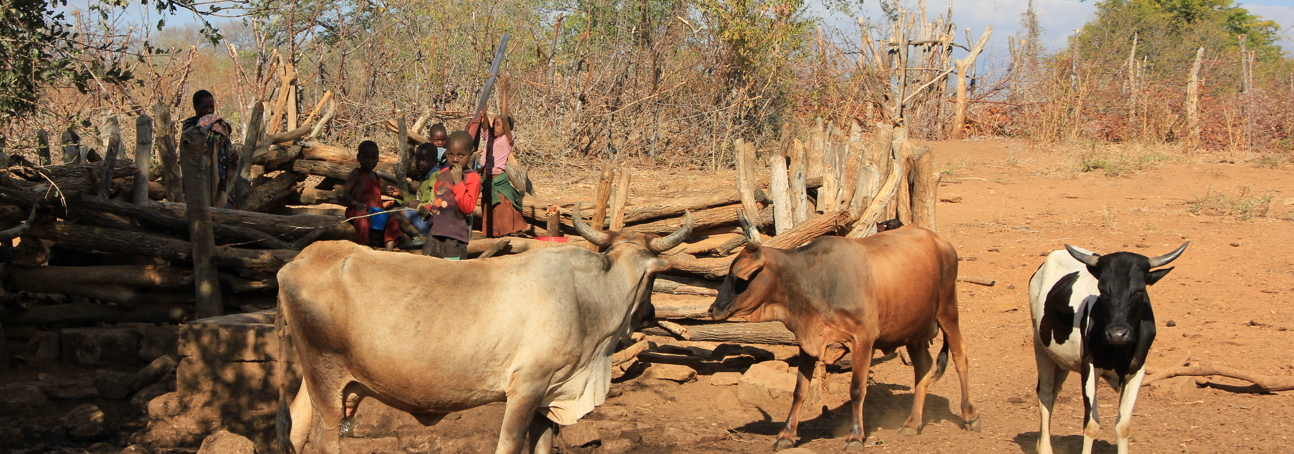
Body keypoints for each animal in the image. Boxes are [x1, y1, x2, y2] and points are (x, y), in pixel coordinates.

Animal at [275, 205, 692, 454]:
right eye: (655, 279)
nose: (650, 313)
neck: (588, 298)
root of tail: (300, 259)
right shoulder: (526, 388)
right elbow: (509, 445)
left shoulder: (550, 393)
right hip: (326, 378)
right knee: (324, 437)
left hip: (319, 379)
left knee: (295, 426)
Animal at [708, 211, 979, 451]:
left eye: (739, 278)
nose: (713, 309)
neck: (815, 281)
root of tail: (938, 240)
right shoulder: (807, 342)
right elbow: (799, 390)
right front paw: (786, 435)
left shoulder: (863, 340)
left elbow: (857, 390)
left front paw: (855, 437)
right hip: (913, 330)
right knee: (923, 367)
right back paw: (912, 423)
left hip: (948, 311)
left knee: (960, 356)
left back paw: (969, 415)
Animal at [1029, 242, 1187, 454]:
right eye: (1103, 291)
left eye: (1139, 291)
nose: (1117, 334)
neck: (1119, 351)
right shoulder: (1089, 366)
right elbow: (1091, 424)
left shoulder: (1138, 369)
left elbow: (1123, 425)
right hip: (1040, 346)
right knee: (1045, 394)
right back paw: (1045, 447)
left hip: (1061, 360)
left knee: (1054, 391)